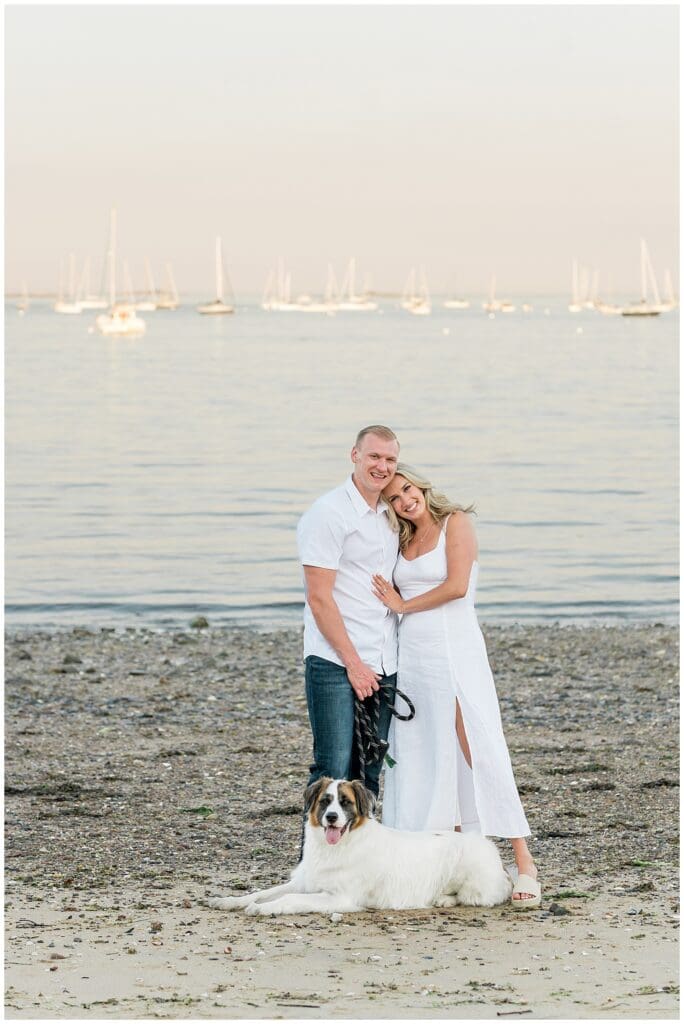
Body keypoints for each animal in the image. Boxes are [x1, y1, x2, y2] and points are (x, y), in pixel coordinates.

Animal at [205, 774, 509, 921]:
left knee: (474, 897)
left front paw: (264, 909)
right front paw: (231, 900)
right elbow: (263, 892)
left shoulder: (338, 898)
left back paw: (444, 899)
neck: (337, 847)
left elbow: (288, 899)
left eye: (346, 803)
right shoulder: (305, 882)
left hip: (469, 876)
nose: (331, 817)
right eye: (325, 801)